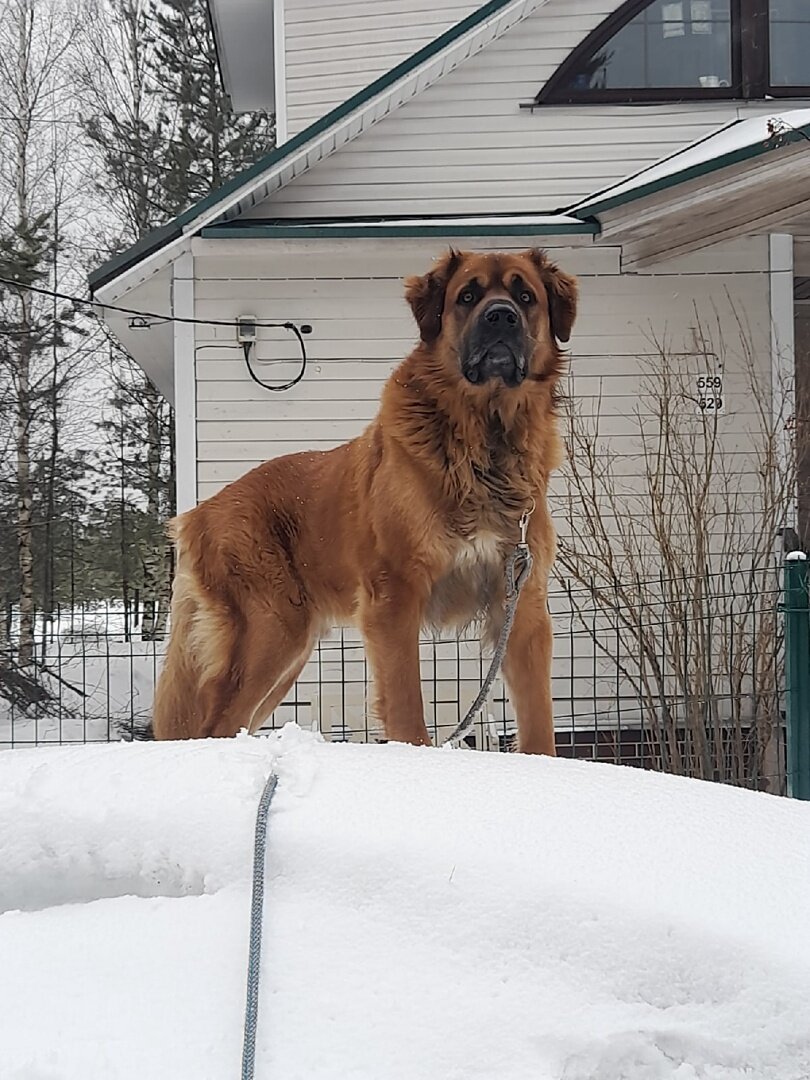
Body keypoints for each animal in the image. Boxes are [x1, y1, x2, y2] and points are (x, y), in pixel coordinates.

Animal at [151, 250, 578, 751]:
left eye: (525, 297)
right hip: (268, 630)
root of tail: (197, 515)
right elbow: (408, 709)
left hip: (287, 653)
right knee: (213, 727)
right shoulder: (395, 596)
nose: (500, 316)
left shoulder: (521, 605)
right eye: (467, 296)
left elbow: (539, 720)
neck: (485, 439)